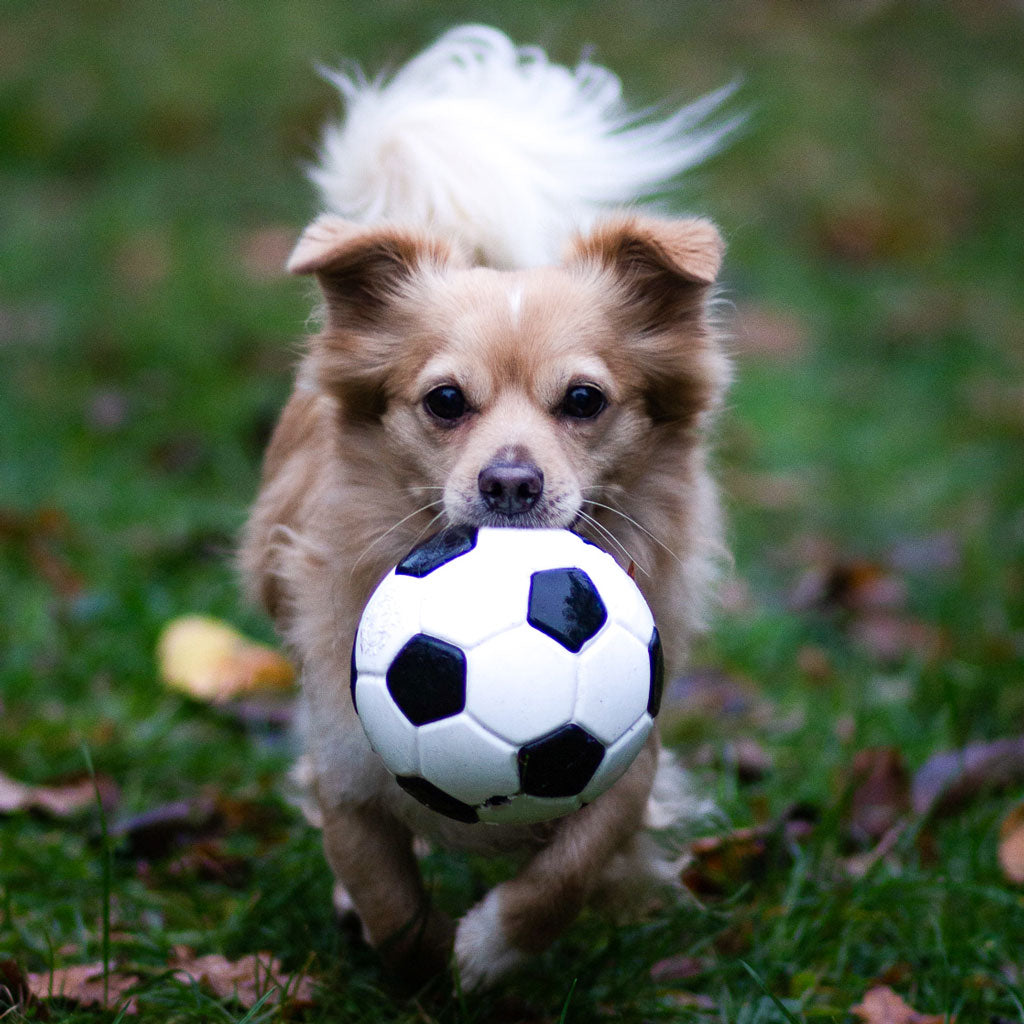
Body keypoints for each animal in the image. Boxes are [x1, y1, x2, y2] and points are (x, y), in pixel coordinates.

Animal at [240, 25, 737, 991]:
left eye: (583, 400)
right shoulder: (346, 761)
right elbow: (382, 886)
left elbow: (572, 868)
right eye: (444, 402)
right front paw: (421, 959)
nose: (511, 483)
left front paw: (489, 948)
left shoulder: (630, 754)